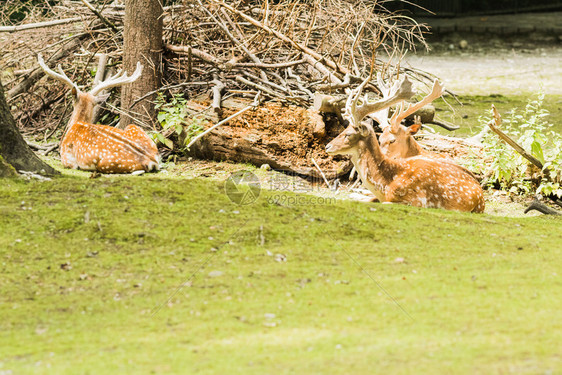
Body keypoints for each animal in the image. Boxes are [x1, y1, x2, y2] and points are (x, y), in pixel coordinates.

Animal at [326, 75, 484, 213]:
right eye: (344, 129)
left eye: (348, 134)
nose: (328, 146)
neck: (385, 185)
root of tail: (482, 198)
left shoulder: (416, 200)